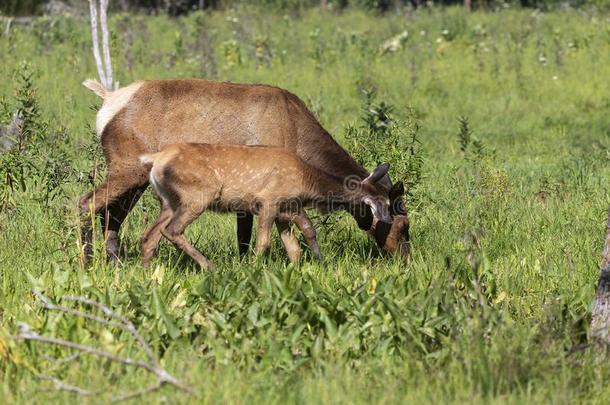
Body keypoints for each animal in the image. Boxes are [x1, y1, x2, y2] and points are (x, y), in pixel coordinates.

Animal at [138, 142, 390, 268]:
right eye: (380, 203)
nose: (384, 221)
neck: (306, 181)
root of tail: (156, 159)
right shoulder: (269, 200)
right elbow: (264, 243)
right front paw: (254, 269)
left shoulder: (287, 208)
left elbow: (299, 241)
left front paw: (308, 267)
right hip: (199, 194)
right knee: (172, 230)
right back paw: (211, 266)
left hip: (168, 201)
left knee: (149, 236)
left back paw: (148, 273)